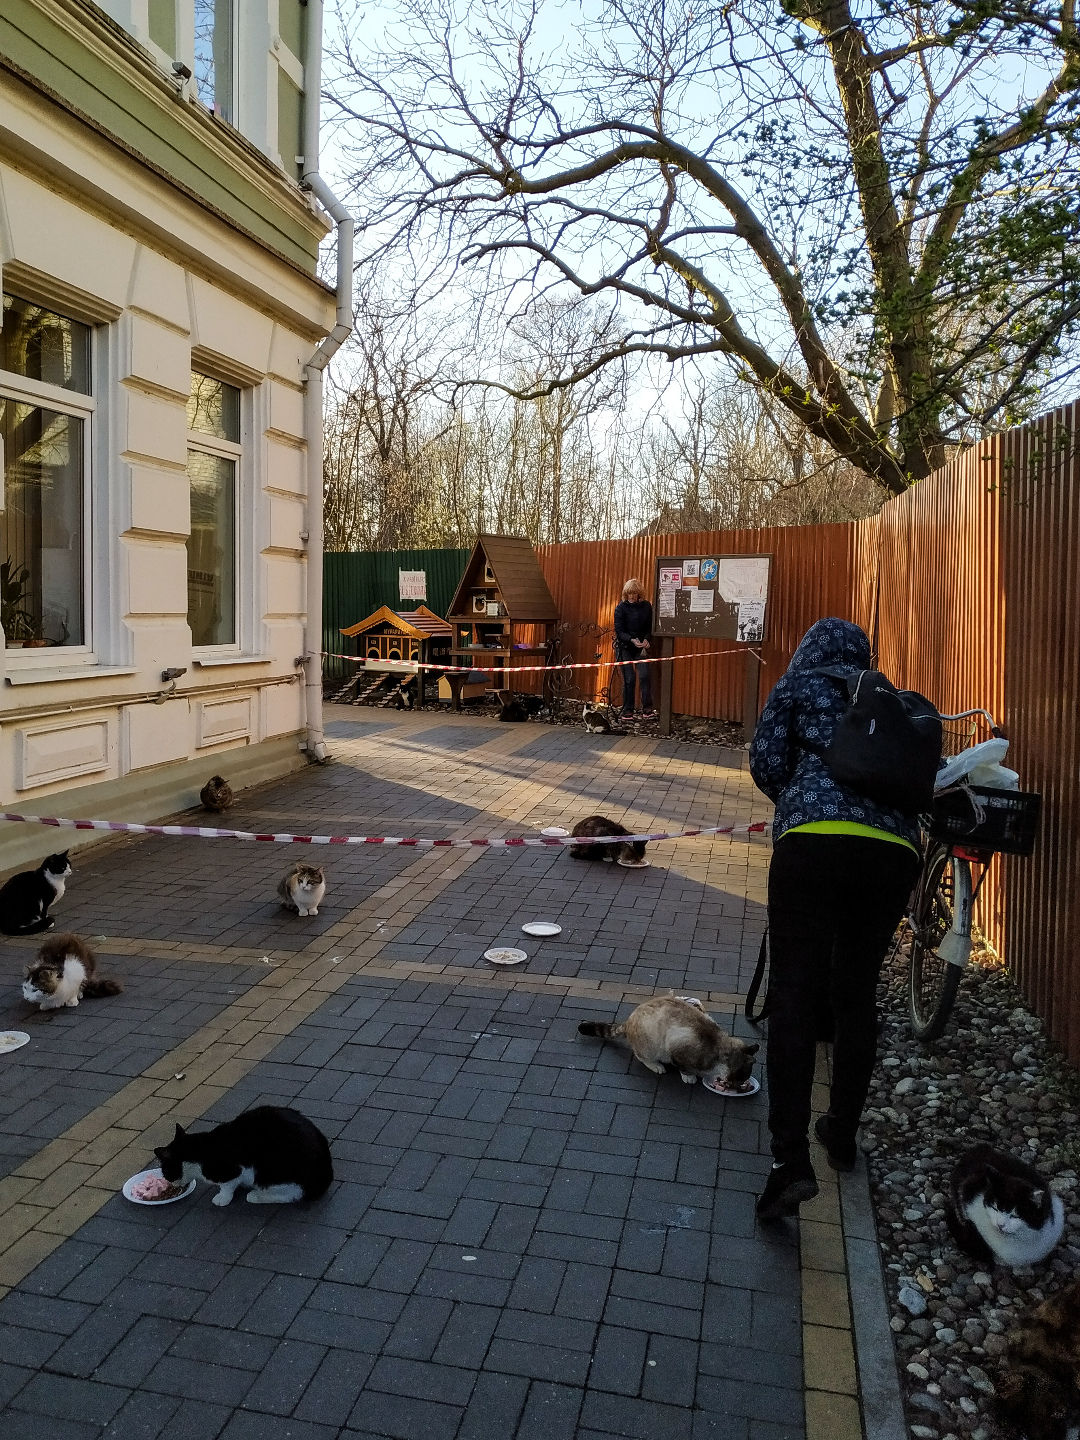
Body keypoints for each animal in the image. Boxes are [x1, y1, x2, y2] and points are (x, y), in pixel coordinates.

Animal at [151, 1105, 329, 1209]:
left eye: (166, 1172)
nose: (171, 1183)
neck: (200, 1150)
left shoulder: (231, 1170)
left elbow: (227, 1185)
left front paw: (223, 1197)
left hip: (273, 1172)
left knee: (292, 1195)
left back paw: (256, 1195)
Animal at [576, 996, 760, 1082]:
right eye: (741, 1077)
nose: (738, 1084)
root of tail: (629, 1020)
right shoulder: (677, 1049)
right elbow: (683, 1067)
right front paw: (690, 1076)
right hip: (650, 1045)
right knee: (640, 1056)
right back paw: (656, 1065)